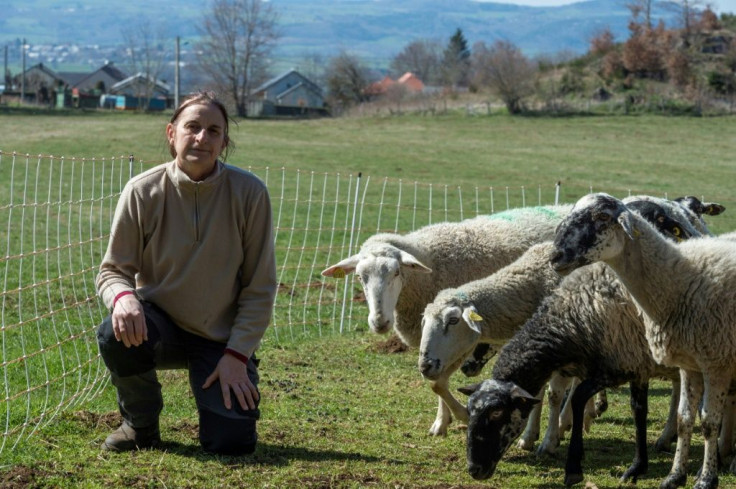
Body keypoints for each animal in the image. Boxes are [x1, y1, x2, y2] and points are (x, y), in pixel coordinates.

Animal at [548, 193, 736, 488]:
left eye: (602, 217)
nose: (554, 256)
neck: (679, 279)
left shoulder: (716, 362)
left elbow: (708, 423)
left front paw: (706, 479)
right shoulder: (688, 363)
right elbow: (684, 419)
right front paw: (674, 476)